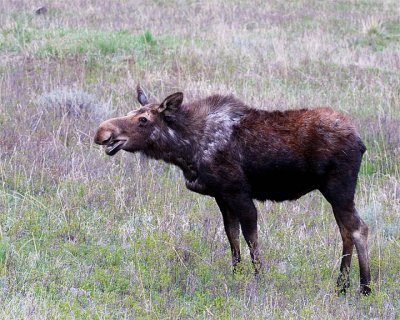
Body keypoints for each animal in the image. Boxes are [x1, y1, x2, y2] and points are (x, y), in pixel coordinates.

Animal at [94, 85, 372, 296]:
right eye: (132, 112)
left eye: (143, 119)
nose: (102, 132)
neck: (186, 149)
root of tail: (361, 142)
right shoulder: (222, 196)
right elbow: (232, 236)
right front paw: (237, 275)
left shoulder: (239, 193)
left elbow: (251, 239)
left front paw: (259, 279)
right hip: (334, 193)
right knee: (345, 232)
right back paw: (341, 285)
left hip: (339, 188)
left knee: (359, 228)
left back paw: (365, 287)